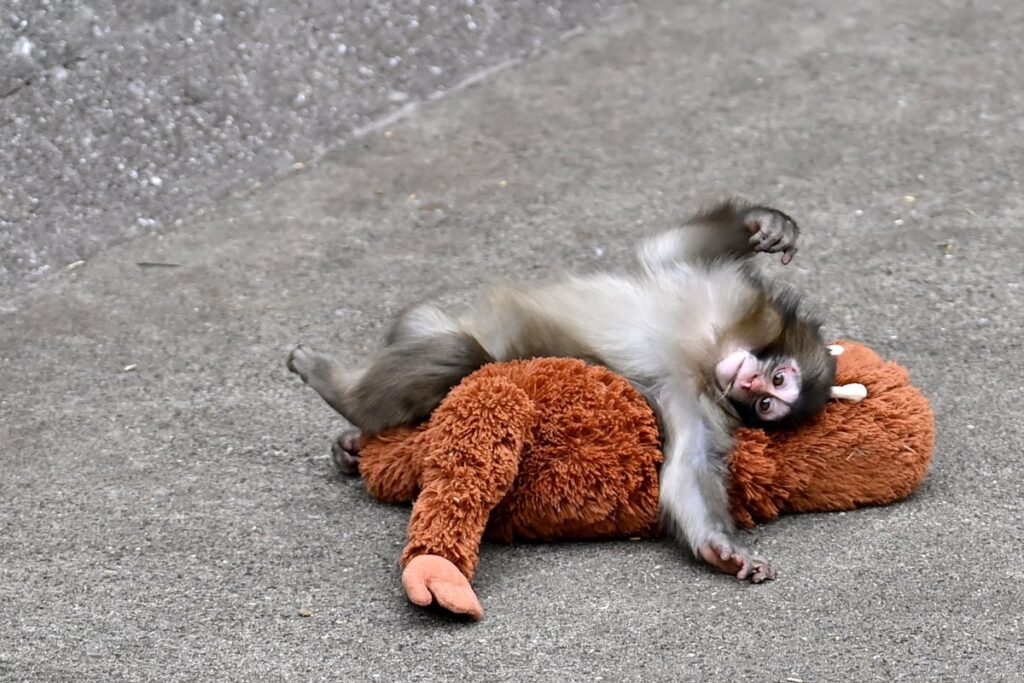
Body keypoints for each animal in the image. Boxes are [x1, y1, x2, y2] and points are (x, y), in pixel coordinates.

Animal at [287, 200, 836, 582]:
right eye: (777, 381)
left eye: (768, 403)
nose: (749, 382)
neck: (709, 351)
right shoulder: (725, 294)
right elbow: (668, 248)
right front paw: (764, 224)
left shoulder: (697, 400)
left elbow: (688, 467)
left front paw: (720, 550)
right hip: (424, 321)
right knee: (455, 348)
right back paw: (345, 400)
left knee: (461, 356)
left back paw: (350, 419)